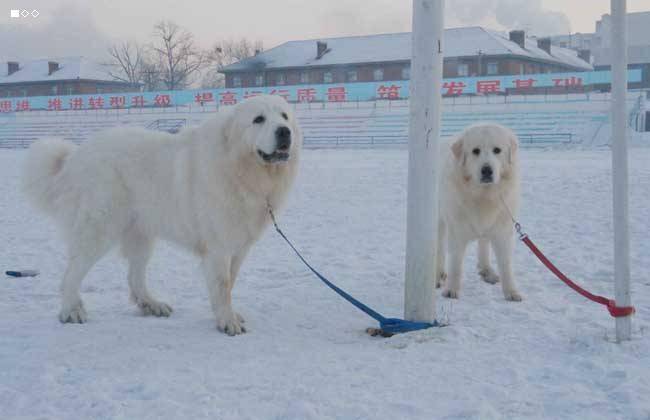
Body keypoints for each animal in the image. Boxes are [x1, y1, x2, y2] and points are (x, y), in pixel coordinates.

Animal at [22, 95, 302, 334]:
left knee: (134, 277)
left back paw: (151, 304)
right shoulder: (219, 247)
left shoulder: (238, 247)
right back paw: (71, 310)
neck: (243, 170)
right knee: (72, 272)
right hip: (99, 228)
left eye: (284, 116)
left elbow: (229, 283)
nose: (284, 131)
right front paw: (227, 322)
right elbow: (223, 286)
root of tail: (74, 157)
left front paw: (227, 315)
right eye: (259, 119)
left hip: (141, 234)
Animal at [436, 122, 520, 302]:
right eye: (476, 151)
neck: (483, 195)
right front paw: (451, 290)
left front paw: (511, 291)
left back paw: (486, 270)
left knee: (483, 243)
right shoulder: (457, 230)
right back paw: (438, 275)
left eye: (497, 150)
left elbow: (506, 265)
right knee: (439, 248)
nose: (487, 170)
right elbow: (455, 264)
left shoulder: (502, 230)